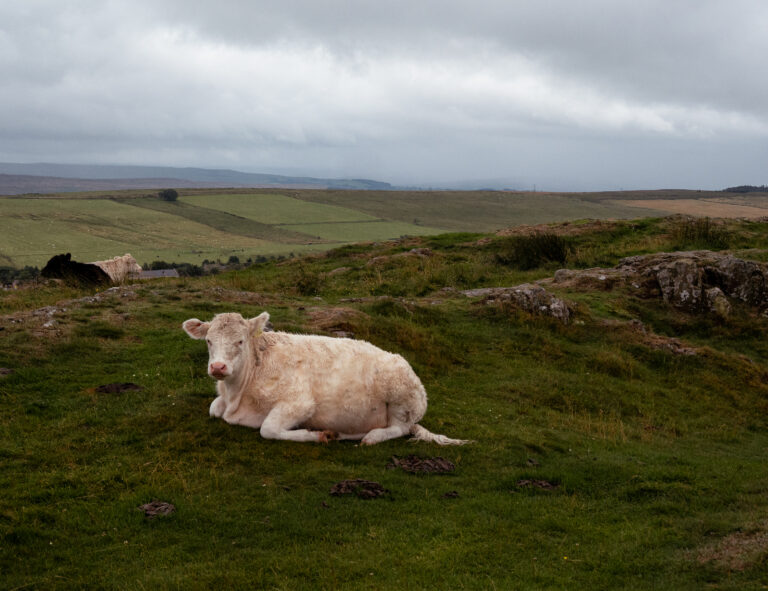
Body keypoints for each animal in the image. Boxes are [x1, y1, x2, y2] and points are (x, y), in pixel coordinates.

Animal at [182, 314, 468, 444]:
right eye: (208, 341)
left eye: (240, 341)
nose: (218, 367)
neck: (237, 395)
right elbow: (213, 409)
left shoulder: (300, 403)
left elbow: (268, 429)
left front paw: (316, 435)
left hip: (401, 398)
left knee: (400, 428)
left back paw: (370, 436)